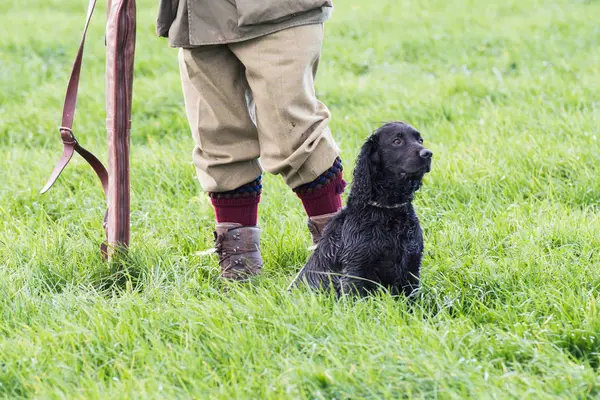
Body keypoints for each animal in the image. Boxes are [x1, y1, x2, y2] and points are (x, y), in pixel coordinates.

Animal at [294, 122, 432, 296]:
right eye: (397, 141)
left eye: (420, 140)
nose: (428, 153)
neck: (388, 210)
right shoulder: (355, 270)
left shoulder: (411, 266)